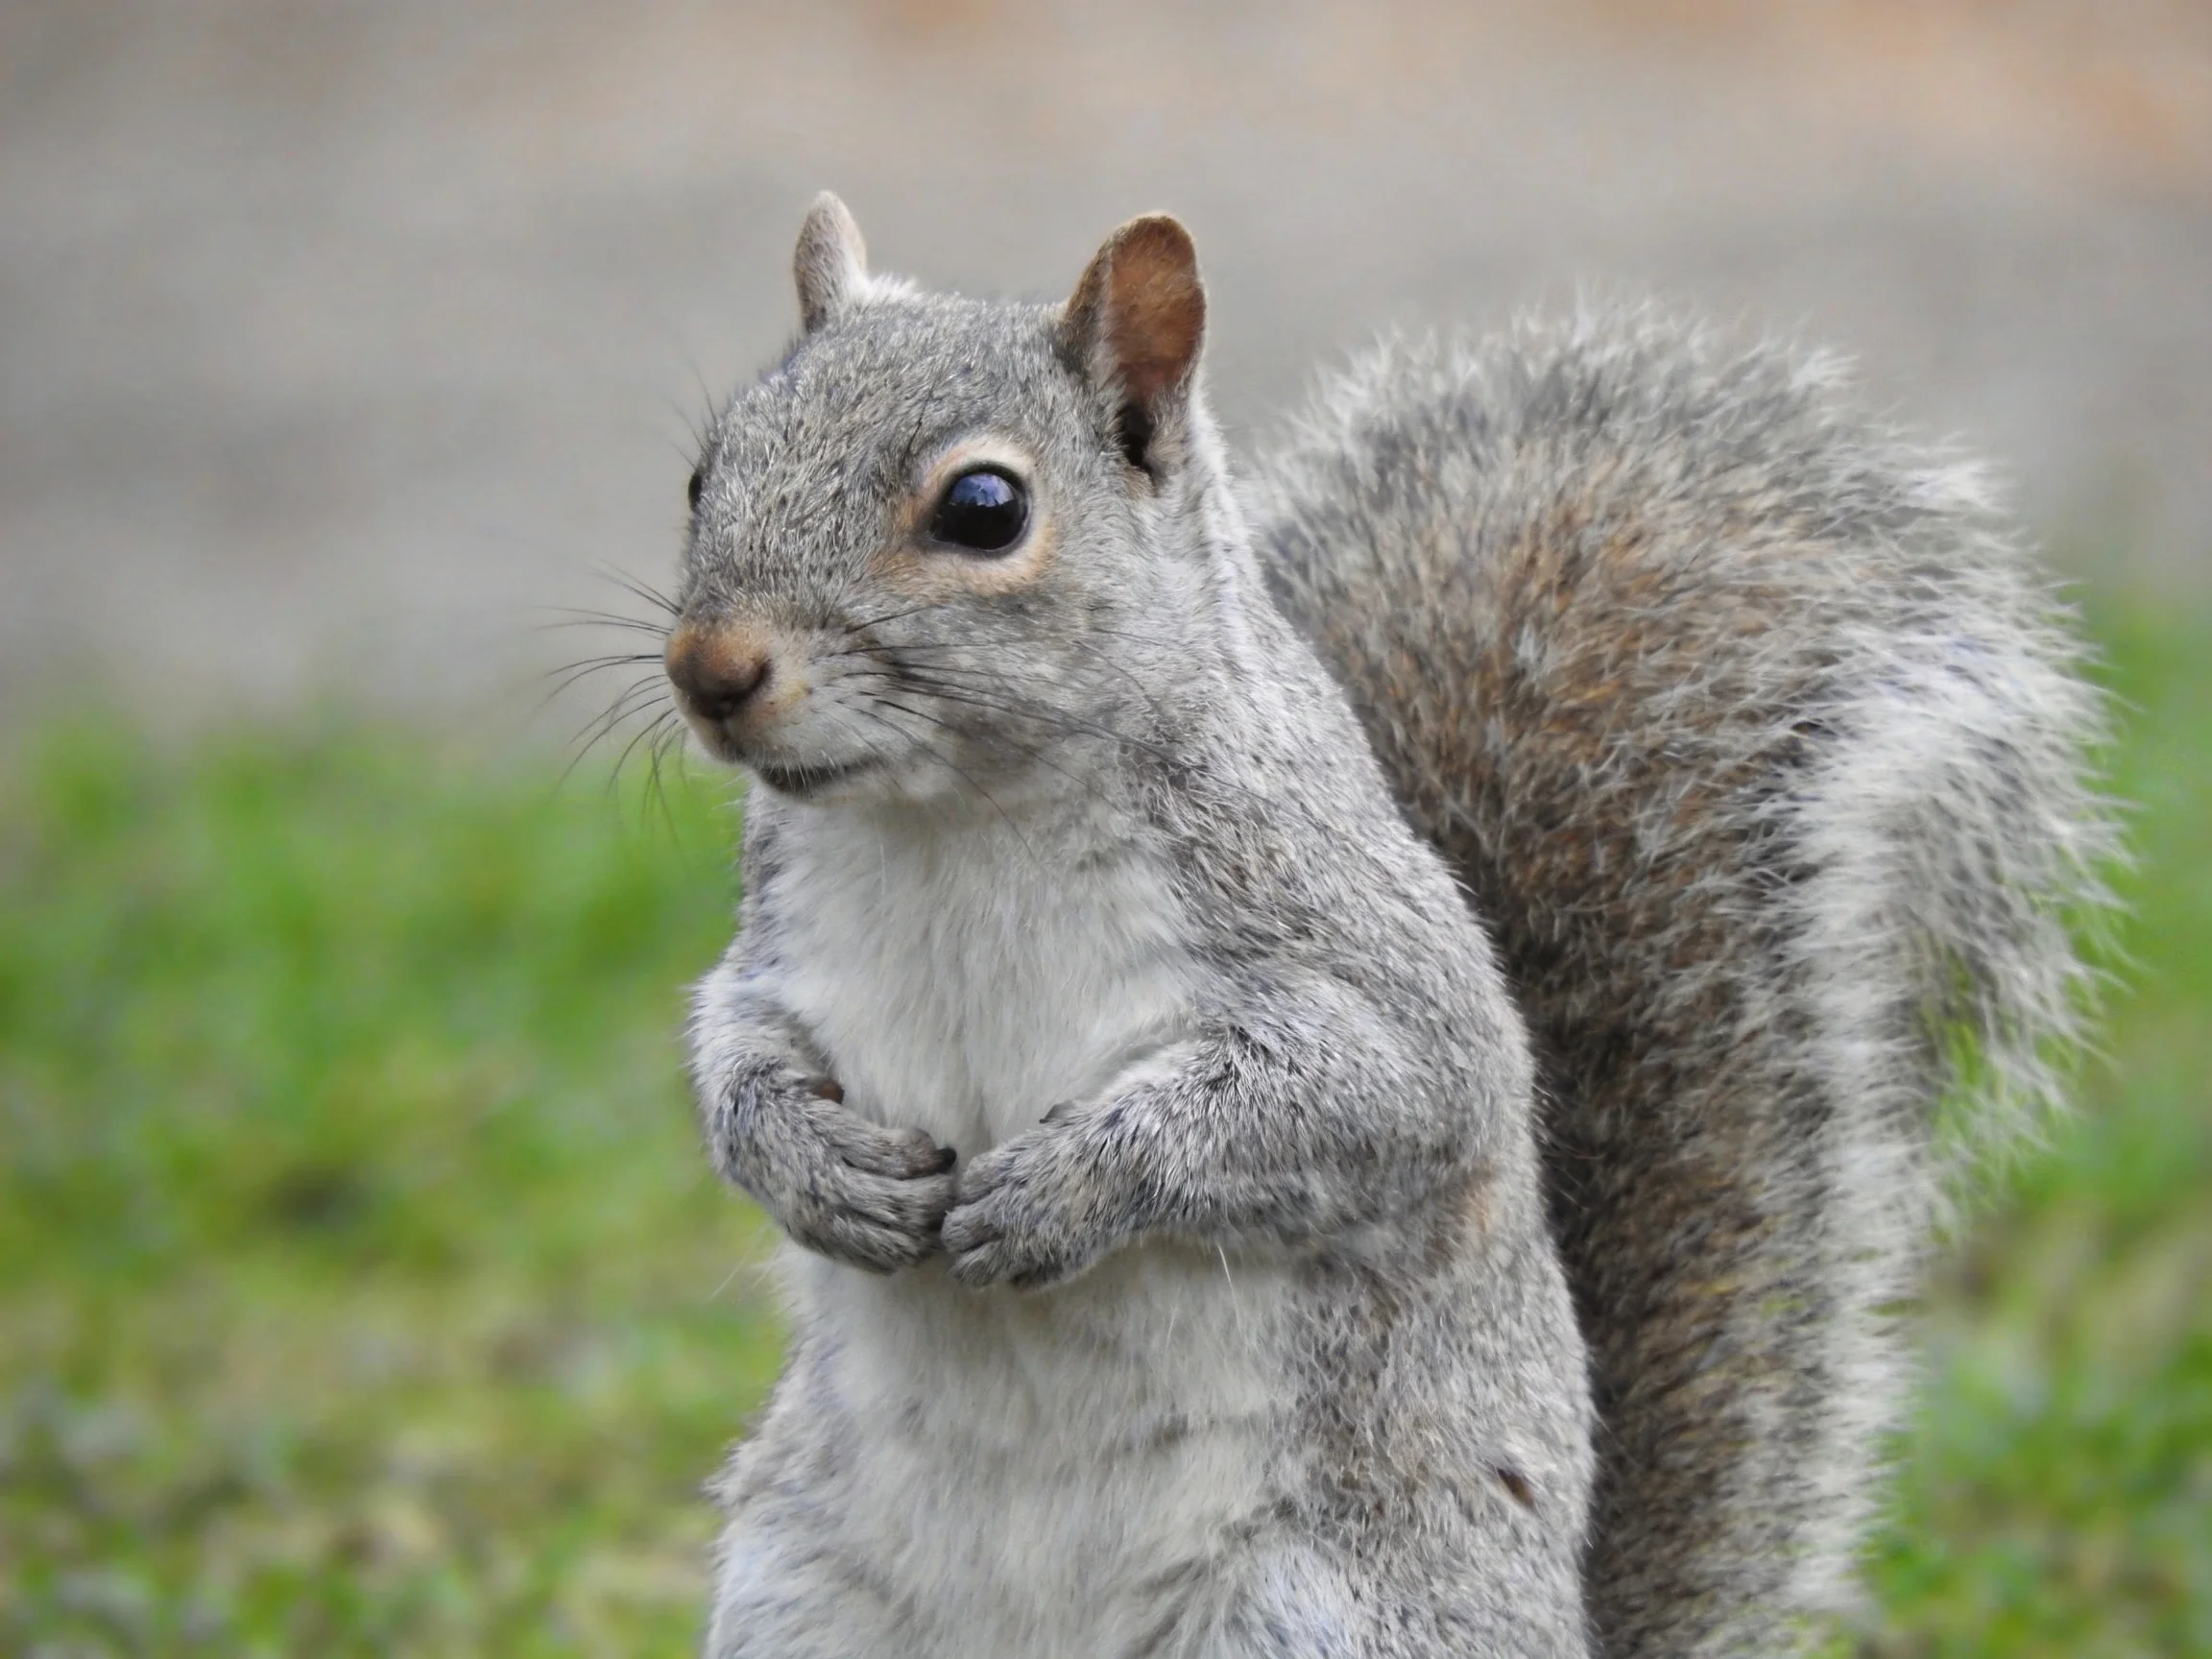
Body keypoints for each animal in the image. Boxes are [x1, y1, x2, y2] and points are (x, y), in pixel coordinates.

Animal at [662, 194, 2110, 1659]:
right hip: (801, 1596)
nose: (710, 670)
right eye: (704, 477)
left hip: (1315, 1613)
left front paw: (1064, 1189)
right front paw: (814, 1167)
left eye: (983, 508)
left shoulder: (1353, 940)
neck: (953, 820)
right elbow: (734, 1047)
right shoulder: (779, 946)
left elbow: (1375, 1093)